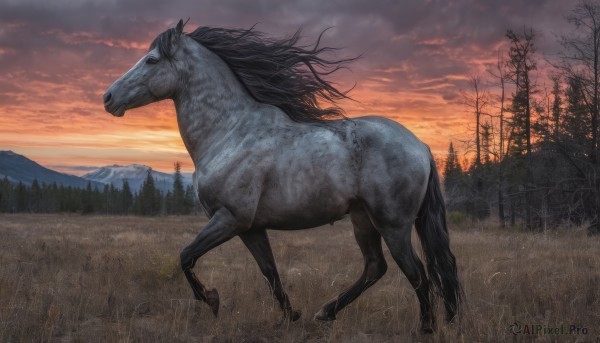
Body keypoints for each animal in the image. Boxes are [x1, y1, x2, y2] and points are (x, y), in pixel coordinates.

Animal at [103, 19, 462, 336]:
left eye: (151, 59)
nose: (108, 98)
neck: (229, 132)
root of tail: (420, 146)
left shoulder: (229, 219)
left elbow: (186, 256)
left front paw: (213, 300)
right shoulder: (250, 227)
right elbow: (270, 273)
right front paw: (291, 316)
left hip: (393, 225)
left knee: (417, 273)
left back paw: (425, 328)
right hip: (363, 219)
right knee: (376, 267)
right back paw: (326, 312)